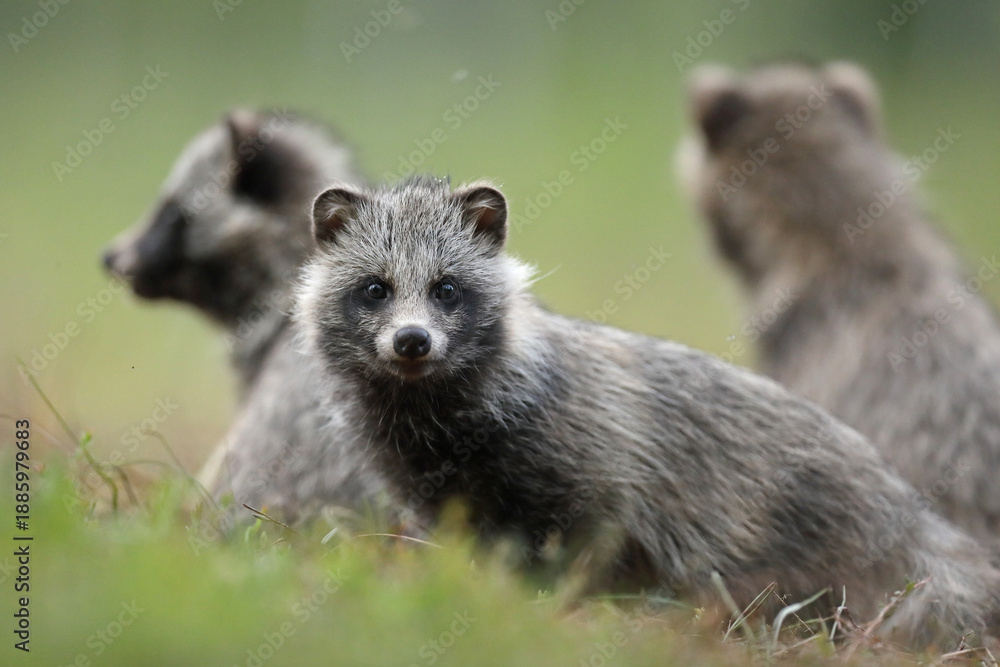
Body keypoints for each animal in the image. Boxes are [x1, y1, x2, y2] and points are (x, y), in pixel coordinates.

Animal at [296, 176, 1000, 648]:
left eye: (447, 288)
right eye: (374, 288)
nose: (412, 341)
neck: (429, 413)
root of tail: (910, 516)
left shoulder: (586, 454)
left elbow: (588, 541)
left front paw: (551, 610)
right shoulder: (431, 486)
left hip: (806, 530)